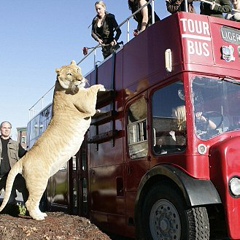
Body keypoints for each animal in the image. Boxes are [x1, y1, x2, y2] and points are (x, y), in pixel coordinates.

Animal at [0, 60, 106, 219]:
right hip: (39, 181)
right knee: (30, 202)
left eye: (78, 69)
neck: (60, 87)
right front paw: (100, 86)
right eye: (70, 74)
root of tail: (23, 159)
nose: (81, 79)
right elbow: (91, 91)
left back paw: (41, 213)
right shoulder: (85, 103)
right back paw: (39, 217)